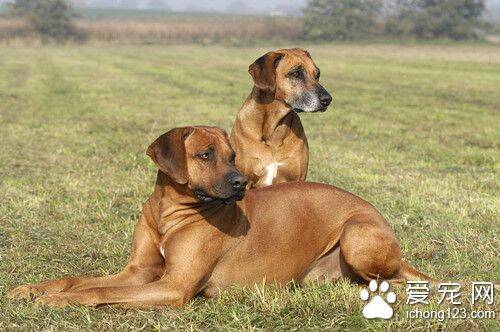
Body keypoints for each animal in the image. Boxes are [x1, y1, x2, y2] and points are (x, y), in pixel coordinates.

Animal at [7, 126, 432, 308]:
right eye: (205, 154)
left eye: (232, 155)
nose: (241, 182)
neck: (171, 213)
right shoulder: (138, 272)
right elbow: (78, 278)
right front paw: (32, 289)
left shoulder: (173, 286)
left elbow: (100, 291)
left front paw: (59, 300)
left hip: (357, 233)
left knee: (389, 278)